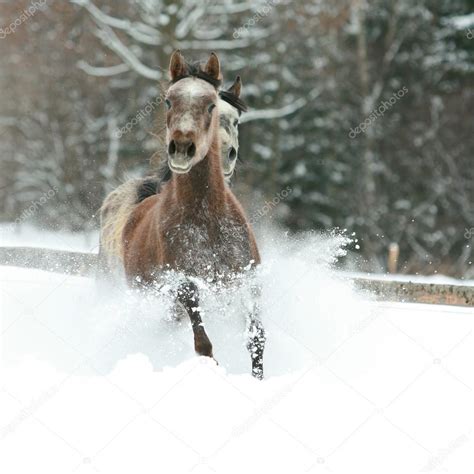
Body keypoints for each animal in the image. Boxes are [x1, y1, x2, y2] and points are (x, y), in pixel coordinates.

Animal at [122, 51, 264, 378]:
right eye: (168, 101)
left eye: (211, 104)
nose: (182, 147)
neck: (207, 220)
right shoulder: (185, 285)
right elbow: (203, 343)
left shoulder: (244, 281)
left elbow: (256, 339)